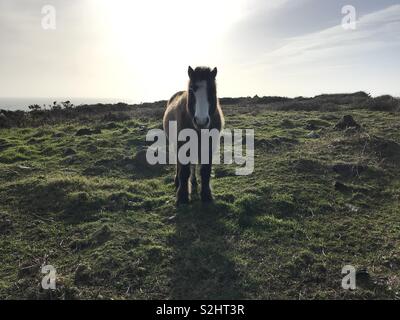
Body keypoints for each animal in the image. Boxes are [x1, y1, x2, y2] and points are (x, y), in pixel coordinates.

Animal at [163, 66, 225, 204]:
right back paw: (178, 181)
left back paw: (194, 181)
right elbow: (184, 170)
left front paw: (206, 195)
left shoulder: (209, 146)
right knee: (179, 164)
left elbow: (205, 171)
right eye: (191, 90)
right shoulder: (182, 145)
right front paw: (182, 196)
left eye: (212, 90)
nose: (201, 121)